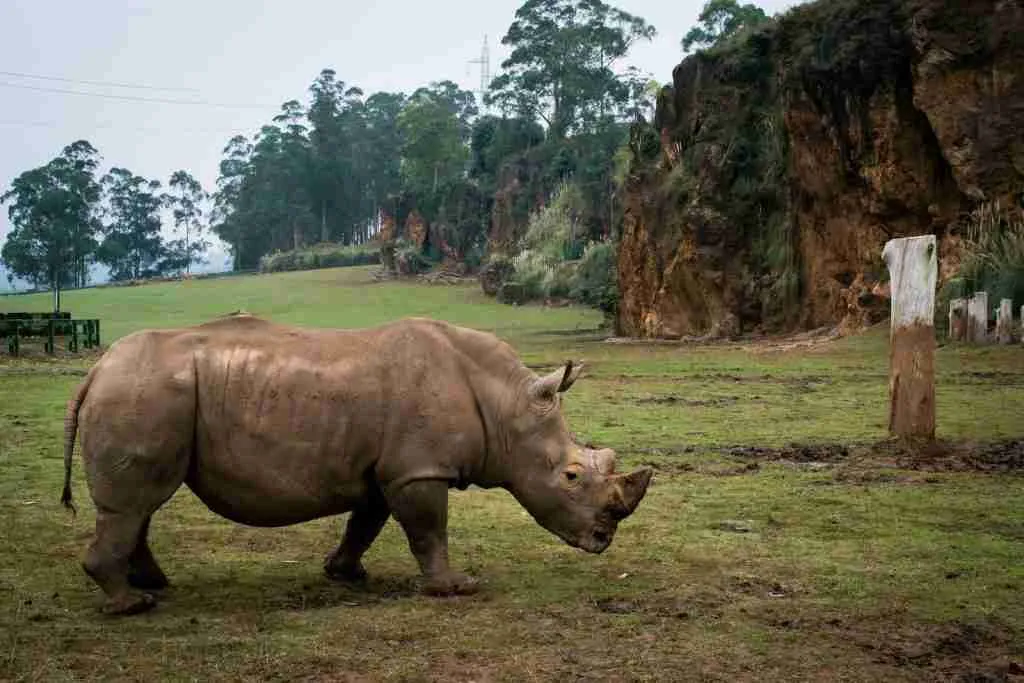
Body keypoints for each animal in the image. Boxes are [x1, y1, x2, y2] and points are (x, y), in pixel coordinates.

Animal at [61, 314, 652, 615]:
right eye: (571, 477)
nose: (603, 541)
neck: (506, 404)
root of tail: (95, 370)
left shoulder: (387, 468)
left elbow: (366, 523)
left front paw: (345, 574)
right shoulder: (419, 468)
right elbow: (428, 529)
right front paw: (456, 588)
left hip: (149, 393)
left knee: (140, 504)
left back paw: (153, 585)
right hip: (145, 393)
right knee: (134, 503)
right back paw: (132, 605)